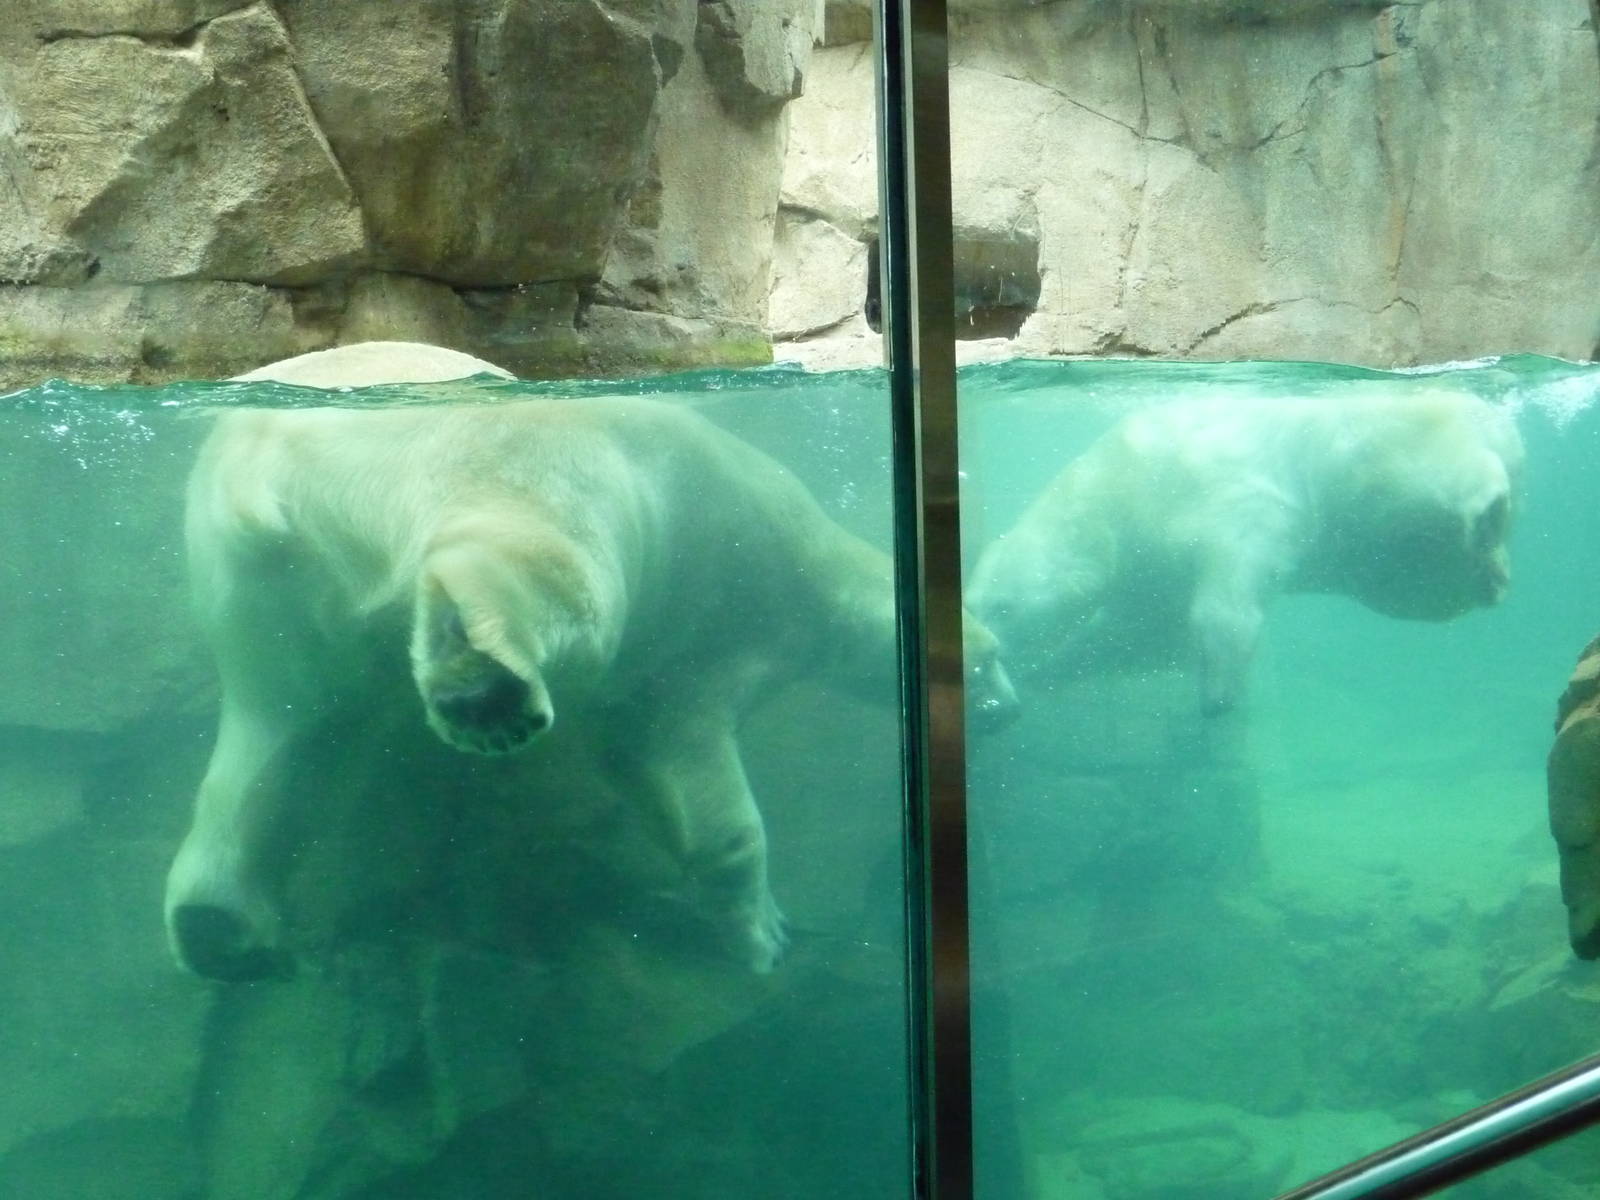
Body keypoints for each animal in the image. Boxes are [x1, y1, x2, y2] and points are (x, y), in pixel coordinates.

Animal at [165, 342, 1017, 981]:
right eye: (994, 659)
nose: (1011, 707)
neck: (820, 569)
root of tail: (258, 463)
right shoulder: (725, 610)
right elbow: (701, 783)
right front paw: (765, 933)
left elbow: (639, 756)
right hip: (490, 456)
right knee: (547, 567)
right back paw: (483, 686)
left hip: (261, 604)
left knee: (284, 743)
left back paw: (217, 928)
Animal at [968, 386, 1523, 714]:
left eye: (1001, 607)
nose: (987, 651)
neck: (1120, 486)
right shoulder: (1149, 574)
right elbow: (1134, 635)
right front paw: (1044, 674)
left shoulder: (1229, 496)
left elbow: (1226, 603)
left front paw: (1217, 695)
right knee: (1413, 574)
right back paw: (1491, 566)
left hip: (1386, 446)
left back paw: (1489, 521)